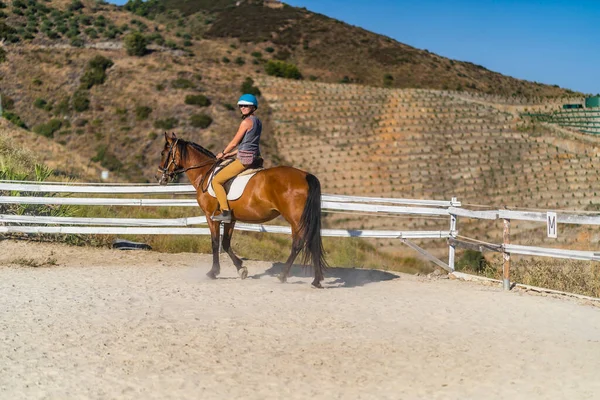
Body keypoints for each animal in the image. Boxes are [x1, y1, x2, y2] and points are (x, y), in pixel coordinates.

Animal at [158, 134, 328, 288]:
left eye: (163, 153)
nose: (160, 177)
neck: (205, 173)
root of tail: (306, 176)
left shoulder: (210, 216)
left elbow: (215, 242)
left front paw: (213, 272)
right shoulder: (230, 219)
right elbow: (226, 243)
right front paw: (241, 269)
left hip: (295, 219)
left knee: (299, 244)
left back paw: (283, 276)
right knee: (311, 242)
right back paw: (316, 280)